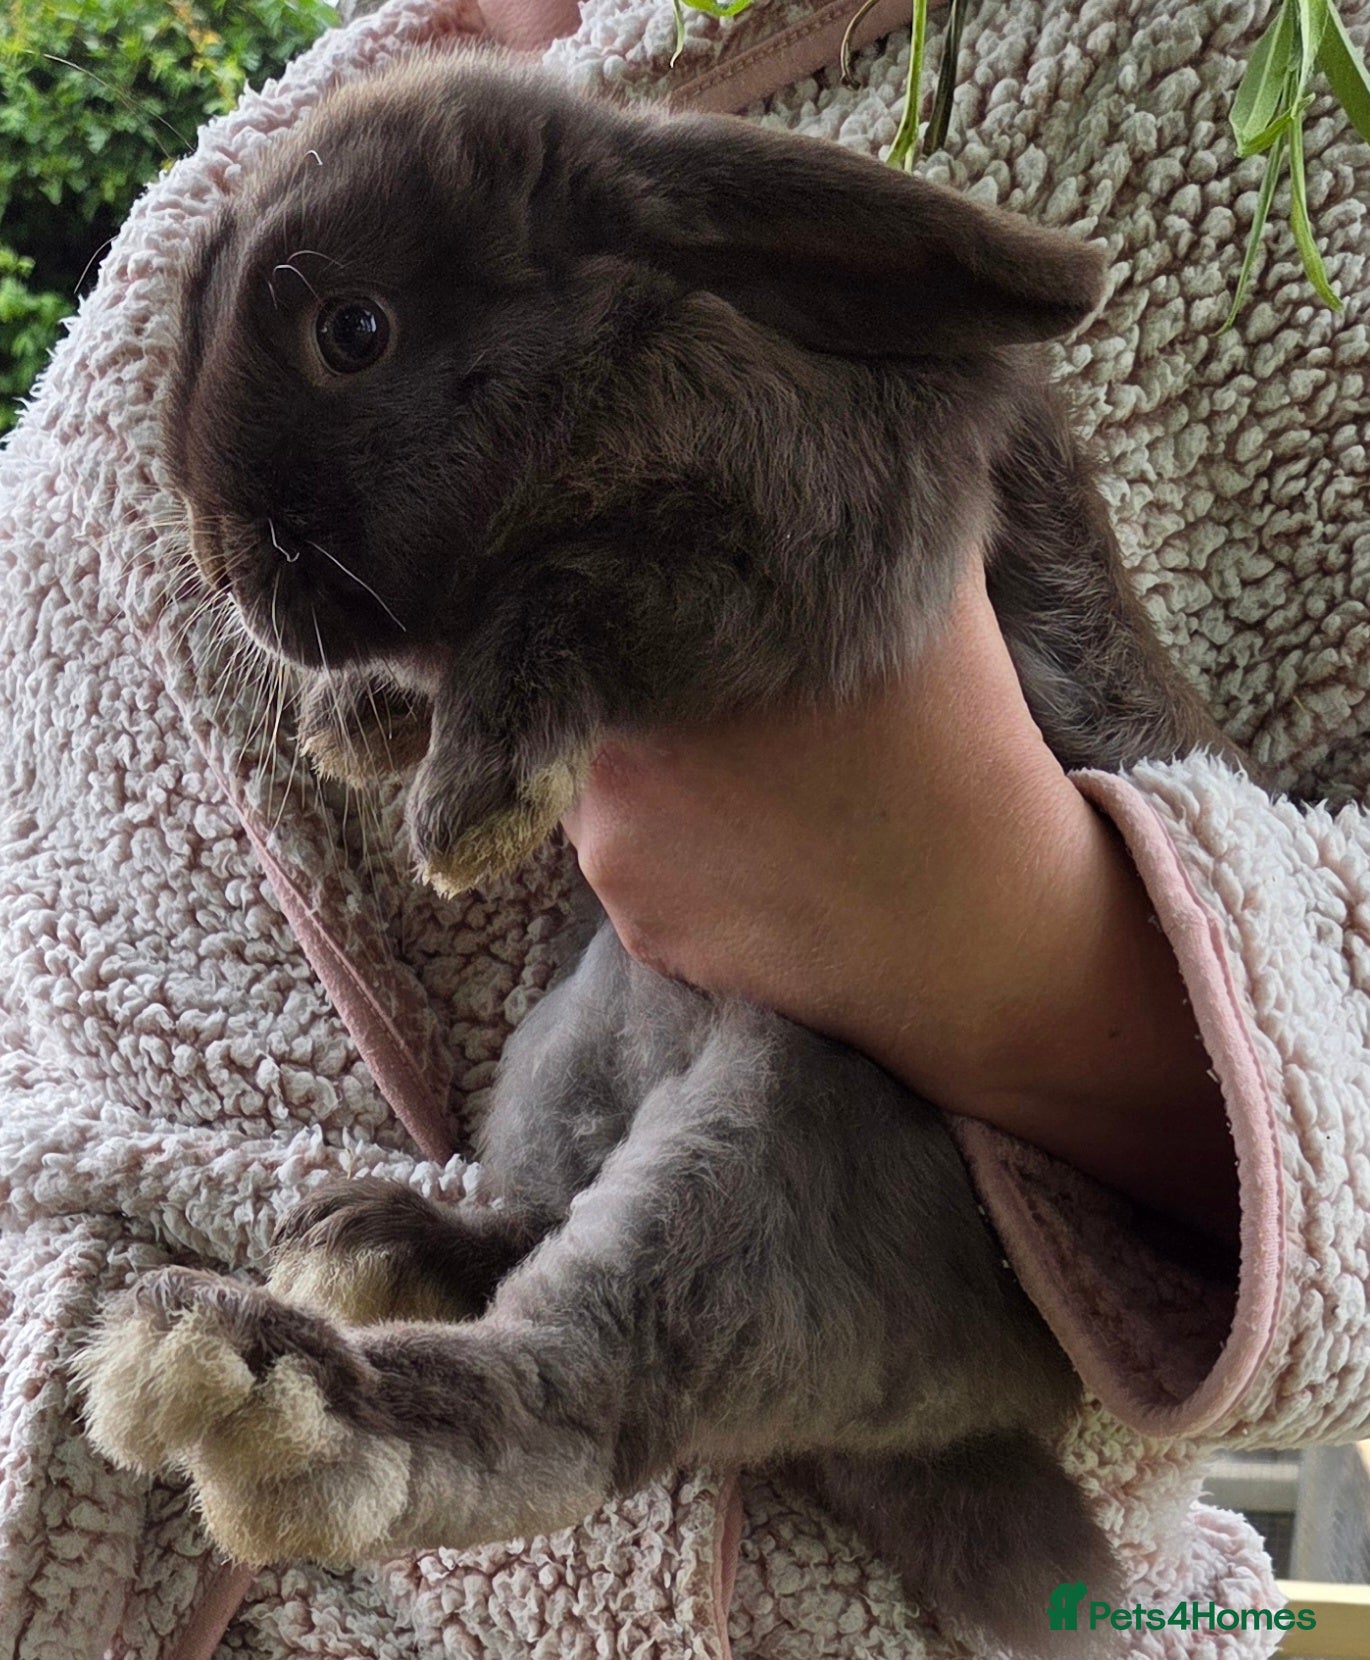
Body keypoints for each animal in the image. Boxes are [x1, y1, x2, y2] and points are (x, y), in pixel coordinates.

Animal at [77, 49, 1238, 1657]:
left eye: (351, 331)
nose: (221, 561)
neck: (624, 345)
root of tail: (936, 1434)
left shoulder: (788, 543)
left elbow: (569, 588)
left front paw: (465, 797)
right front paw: (356, 726)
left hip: (778, 1131)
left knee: (589, 1391)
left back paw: (277, 1379)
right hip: (564, 1052)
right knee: (541, 1236)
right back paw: (380, 1243)